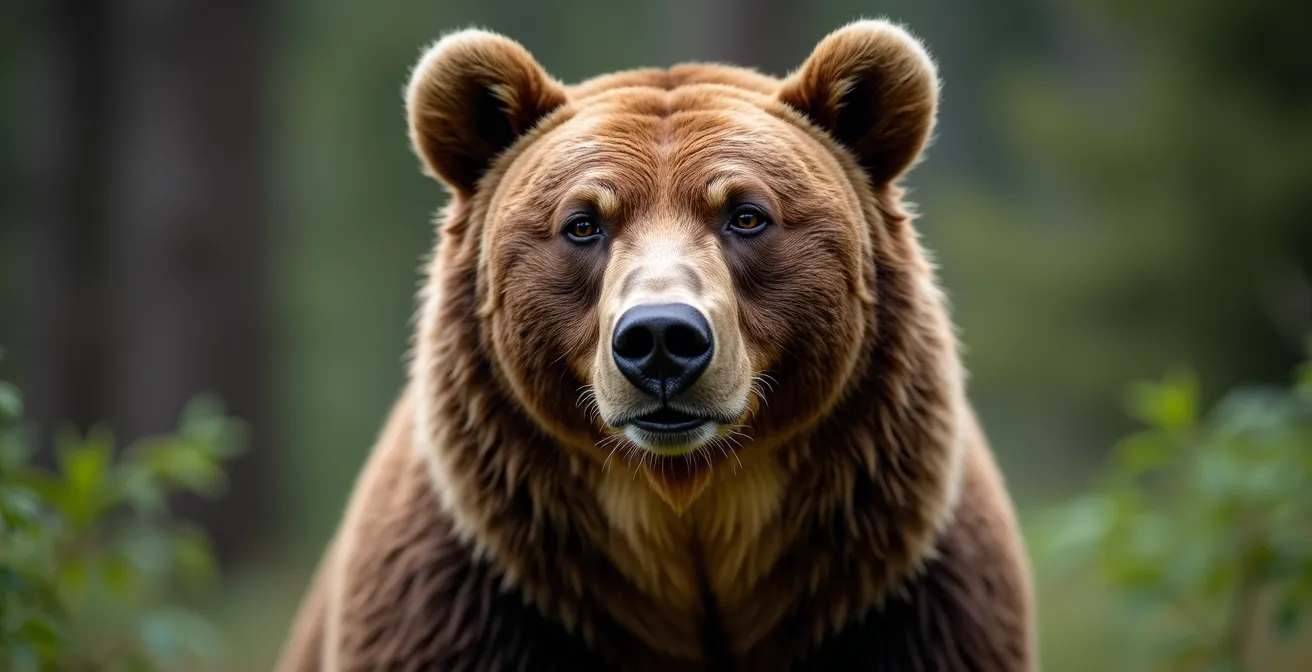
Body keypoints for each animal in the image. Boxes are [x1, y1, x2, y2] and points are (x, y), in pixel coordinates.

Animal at [277, 20, 1035, 672]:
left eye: (746, 214)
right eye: (583, 222)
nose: (662, 338)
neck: (687, 515)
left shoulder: (910, 604)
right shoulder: (467, 601)